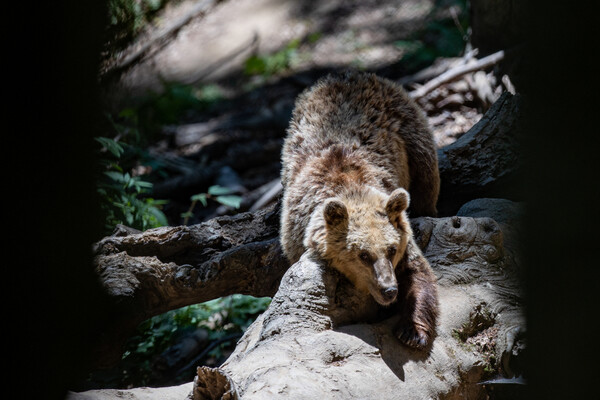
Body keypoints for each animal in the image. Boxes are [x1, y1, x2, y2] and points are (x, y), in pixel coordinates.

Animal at [278, 72, 438, 350]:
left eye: (391, 249)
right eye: (363, 255)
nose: (389, 290)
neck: (350, 189)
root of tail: (346, 74)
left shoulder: (400, 230)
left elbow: (419, 273)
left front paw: (412, 332)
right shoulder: (296, 232)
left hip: (409, 131)